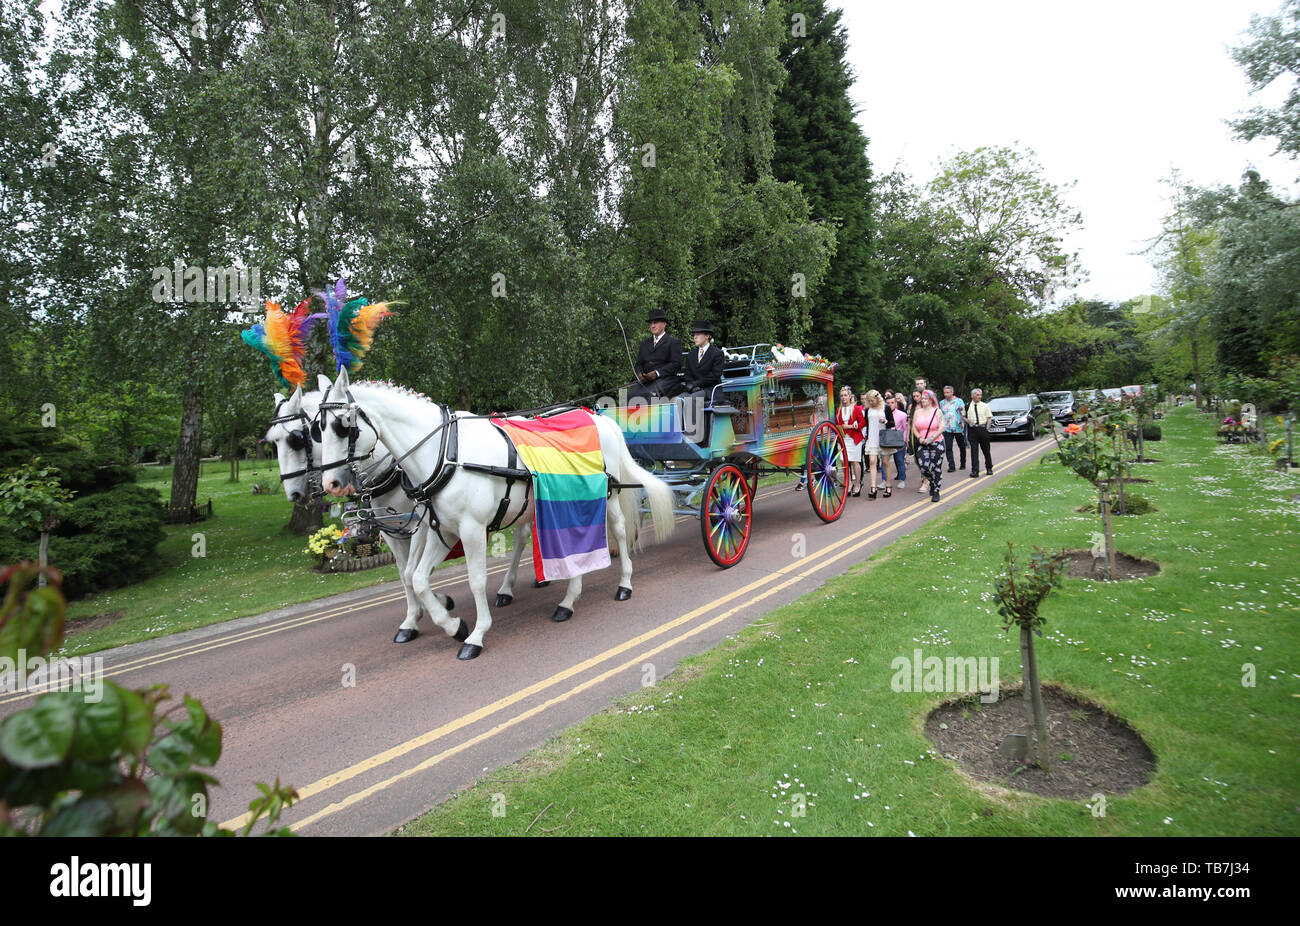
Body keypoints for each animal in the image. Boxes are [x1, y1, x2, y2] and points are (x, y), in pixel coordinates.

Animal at [263, 387, 457, 639]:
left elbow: (413, 572)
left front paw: (435, 605)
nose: (293, 494)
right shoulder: (393, 532)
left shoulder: (421, 526)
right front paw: (414, 617)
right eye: (273, 441)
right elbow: (406, 573)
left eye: (295, 439)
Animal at [314, 366, 676, 658]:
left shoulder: (470, 529)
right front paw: (452, 624)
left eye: (343, 425)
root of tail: (599, 417)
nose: (331, 483)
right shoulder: (442, 530)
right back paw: (566, 600)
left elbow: (474, 581)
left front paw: (475, 634)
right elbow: (416, 578)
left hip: (609, 494)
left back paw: (623, 583)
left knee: (617, 528)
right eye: (317, 429)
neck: (447, 453)